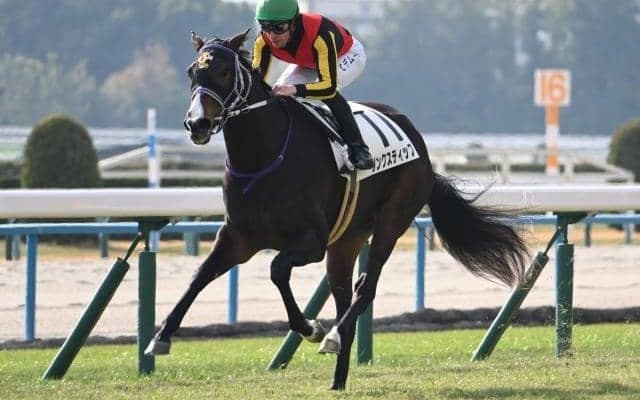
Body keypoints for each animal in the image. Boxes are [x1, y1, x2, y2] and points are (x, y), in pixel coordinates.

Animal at [144, 30, 530, 390]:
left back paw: (331, 337)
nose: (196, 124)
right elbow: (200, 276)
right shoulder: (237, 237)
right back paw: (338, 377)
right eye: (192, 71)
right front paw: (160, 337)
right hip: (347, 238)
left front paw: (311, 328)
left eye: (224, 72)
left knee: (365, 288)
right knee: (345, 292)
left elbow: (276, 269)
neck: (264, 157)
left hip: (392, 220)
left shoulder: (311, 241)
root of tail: (420, 146)